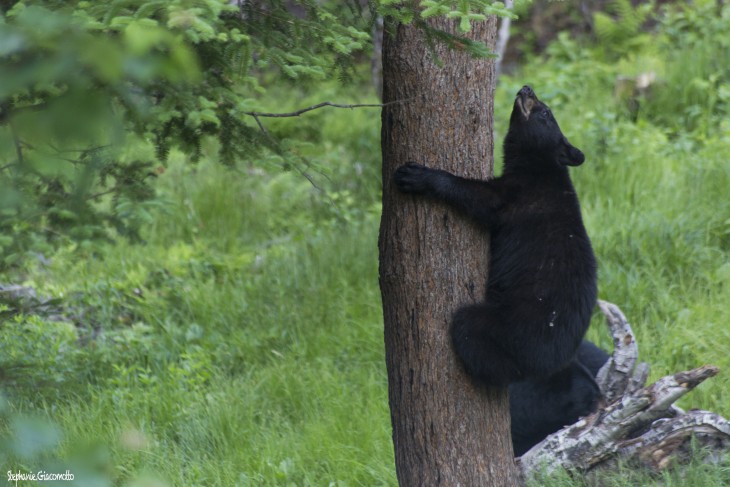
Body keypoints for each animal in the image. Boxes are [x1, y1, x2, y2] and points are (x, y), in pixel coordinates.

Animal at [396, 86, 596, 386]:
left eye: (545, 112)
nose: (527, 88)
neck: (541, 168)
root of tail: (551, 363)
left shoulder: (518, 197)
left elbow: (478, 197)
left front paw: (418, 176)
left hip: (514, 329)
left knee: (471, 330)